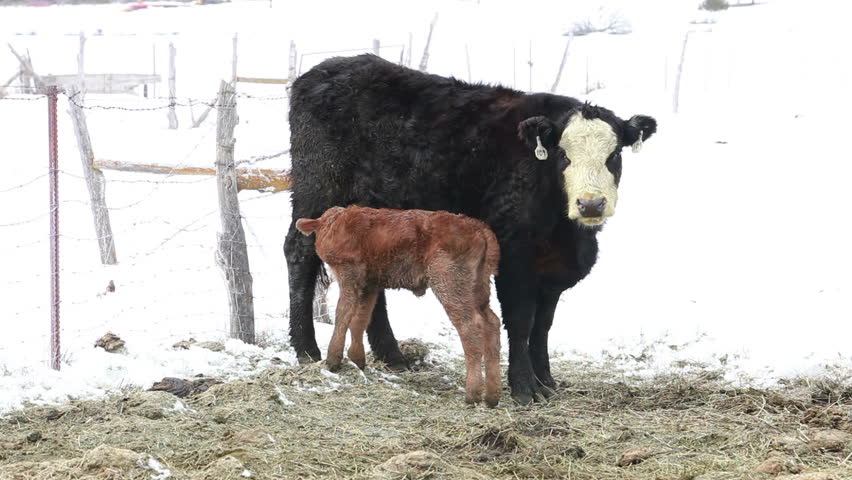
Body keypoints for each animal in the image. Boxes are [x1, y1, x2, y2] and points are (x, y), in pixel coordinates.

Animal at [296, 204, 502, 406]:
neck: (336, 223)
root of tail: (478, 227)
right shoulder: (370, 285)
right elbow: (360, 319)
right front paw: (357, 359)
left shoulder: (349, 274)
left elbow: (343, 314)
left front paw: (333, 360)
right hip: (479, 289)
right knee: (492, 323)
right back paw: (492, 396)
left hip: (450, 285)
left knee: (470, 328)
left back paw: (472, 394)